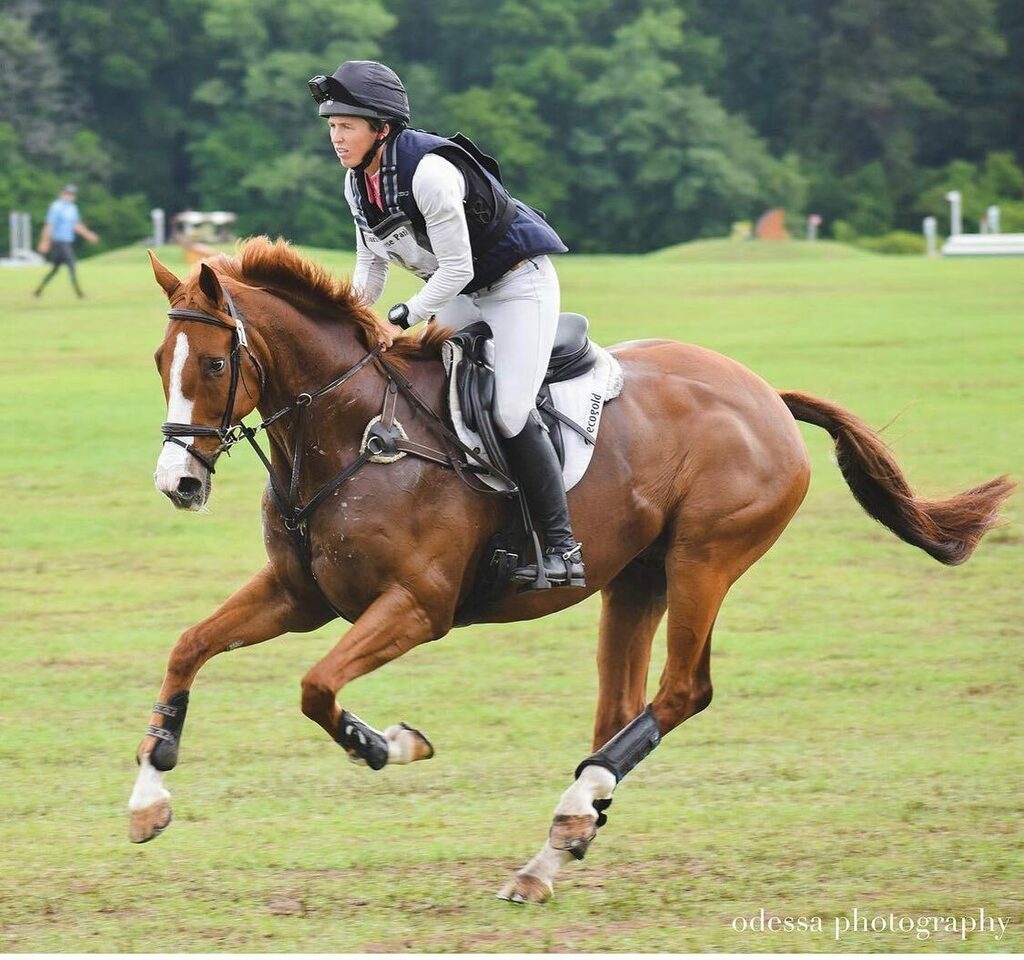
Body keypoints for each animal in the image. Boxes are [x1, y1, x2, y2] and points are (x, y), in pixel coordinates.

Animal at [131, 237, 1013, 903]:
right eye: (159, 358)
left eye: (214, 366)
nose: (178, 483)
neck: (354, 434)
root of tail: (763, 391)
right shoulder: (299, 595)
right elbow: (188, 646)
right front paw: (149, 793)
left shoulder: (417, 606)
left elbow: (317, 689)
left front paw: (389, 745)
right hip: (638, 576)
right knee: (619, 709)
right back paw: (560, 843)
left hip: (704, 560)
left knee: (681, 692)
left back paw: (570, 815)